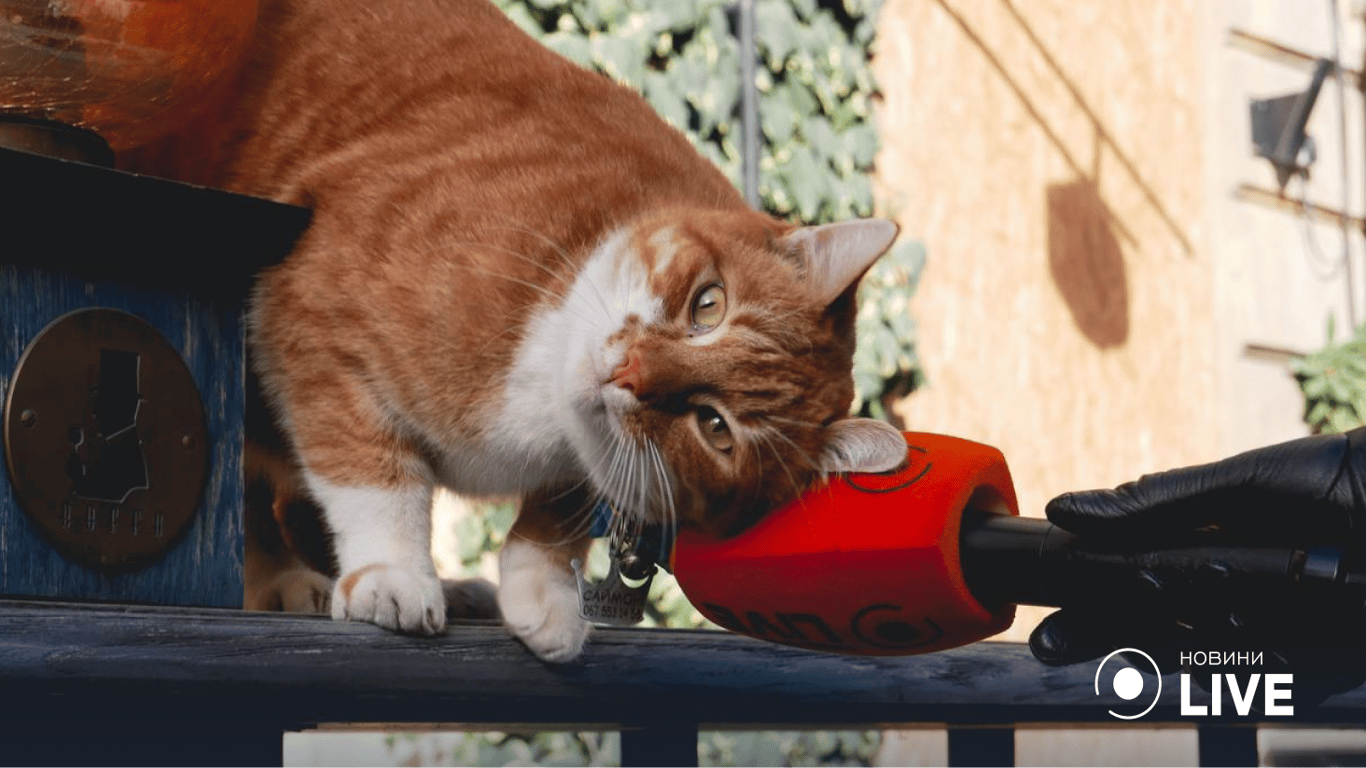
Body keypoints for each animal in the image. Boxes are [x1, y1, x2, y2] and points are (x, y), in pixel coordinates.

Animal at [125, 0, 907, 661]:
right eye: (708, 306)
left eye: (715, 427)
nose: (628, 373)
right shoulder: (312, 312)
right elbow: (371, 471)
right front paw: (392, 572)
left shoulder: (584, 465)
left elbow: (558, 518)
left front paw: (543, 596)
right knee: (250, 494)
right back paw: (291, 578)